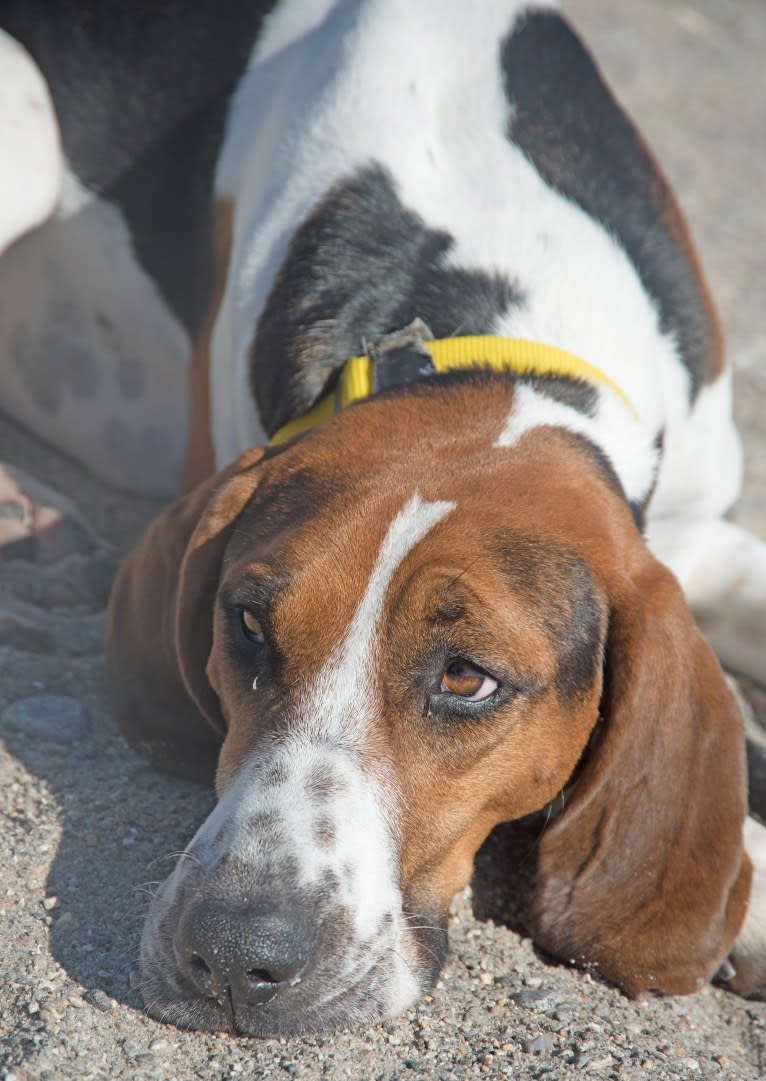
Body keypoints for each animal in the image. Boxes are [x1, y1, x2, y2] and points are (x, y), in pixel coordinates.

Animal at [1, 0, 764, 1033]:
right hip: (27, 121)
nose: (232, 956)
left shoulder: (694, 529)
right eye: (247, 623)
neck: (492, 327)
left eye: (467, 677)